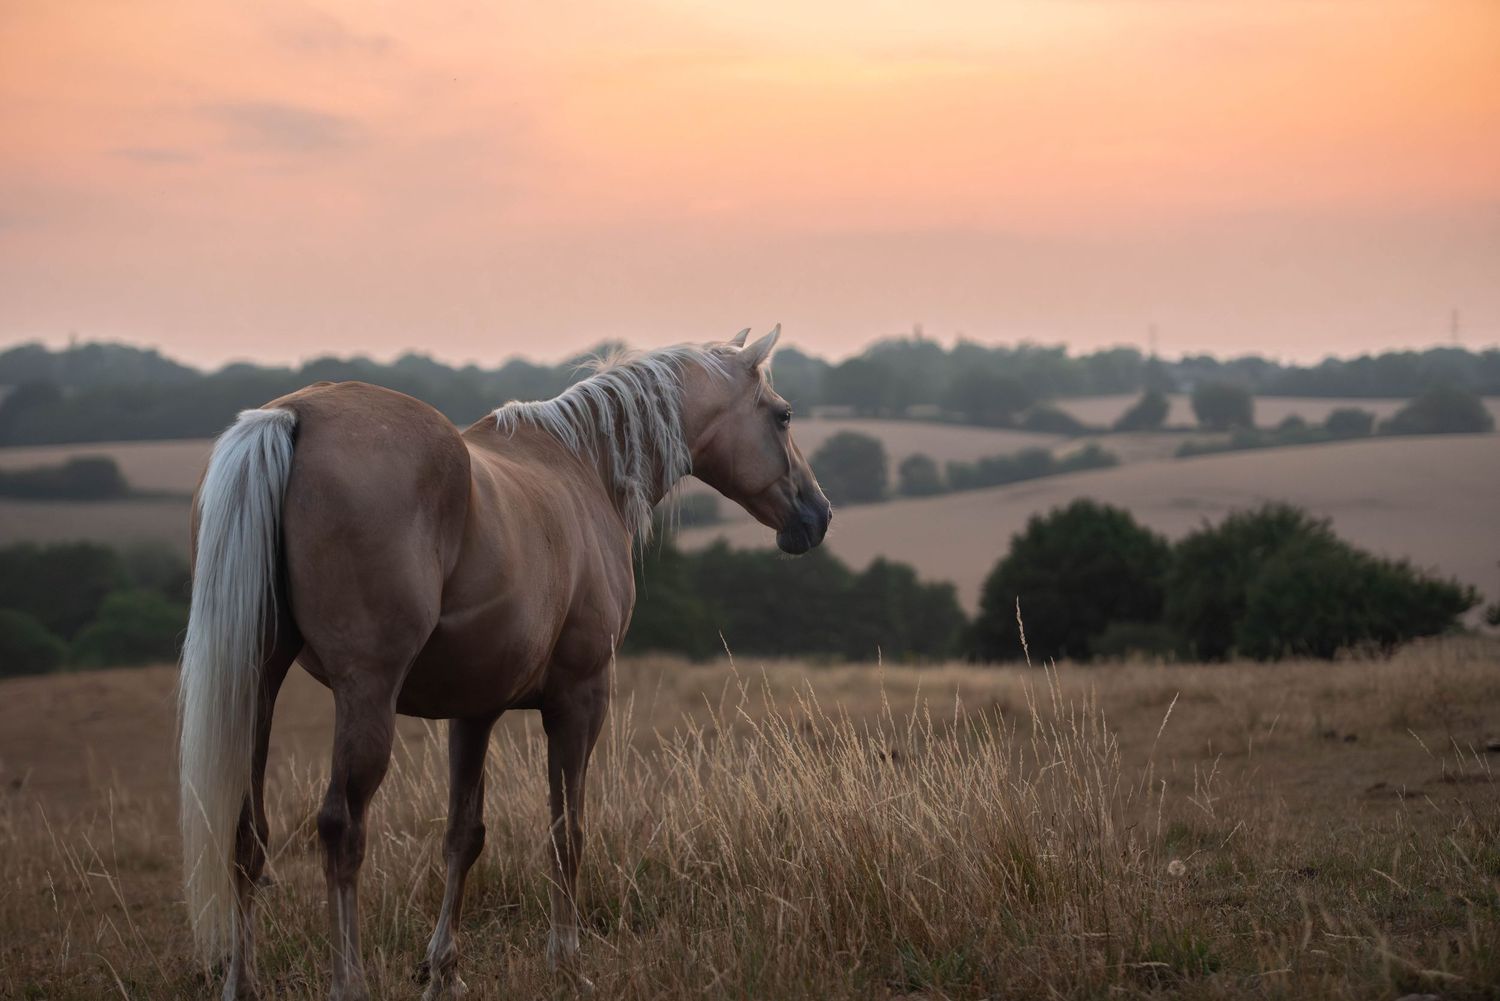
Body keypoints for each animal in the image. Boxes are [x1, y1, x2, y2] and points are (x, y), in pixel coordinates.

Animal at [177, 327, 831, 1001]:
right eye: (782, 416)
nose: (817, 516)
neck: (583, 467)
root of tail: (293, 415)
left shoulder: (474, 712)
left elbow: (463, 836)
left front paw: (442, 969)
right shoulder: (580, 699)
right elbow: (566, 831)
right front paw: (565, 959)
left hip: (257, 686)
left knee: (246, 834)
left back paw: (241, 983)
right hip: (366, 695)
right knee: (341, 829)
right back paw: (348, 981)